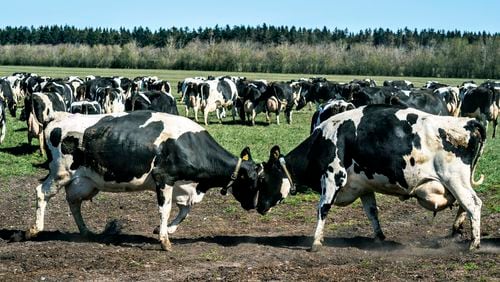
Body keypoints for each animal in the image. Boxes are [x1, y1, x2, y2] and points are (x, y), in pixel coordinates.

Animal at [26, 110, 262, 251]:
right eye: (253, 181)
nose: (255, 207)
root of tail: (59, 116)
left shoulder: (183, 186)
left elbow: (184, 211)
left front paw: (165, 230)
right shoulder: (164, 178)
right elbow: (165, 209)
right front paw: (165, 240)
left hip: (83, 182)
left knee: (74, 202)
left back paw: (85, 231)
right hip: (60, 173)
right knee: (41, 192)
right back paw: (34, 229)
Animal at [254, 104, 484, 252]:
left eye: (263, 179)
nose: (259, 207)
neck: (323, 141)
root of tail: (468, 122)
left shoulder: (332, 177)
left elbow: (322, 209)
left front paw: (316, 242)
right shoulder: (363, 186)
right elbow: (372, 212)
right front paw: (379, 237)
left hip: (454, 179)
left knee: (473, 204)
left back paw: (474, 244)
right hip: (457, 183)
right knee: (465, 205)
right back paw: (457, 230)